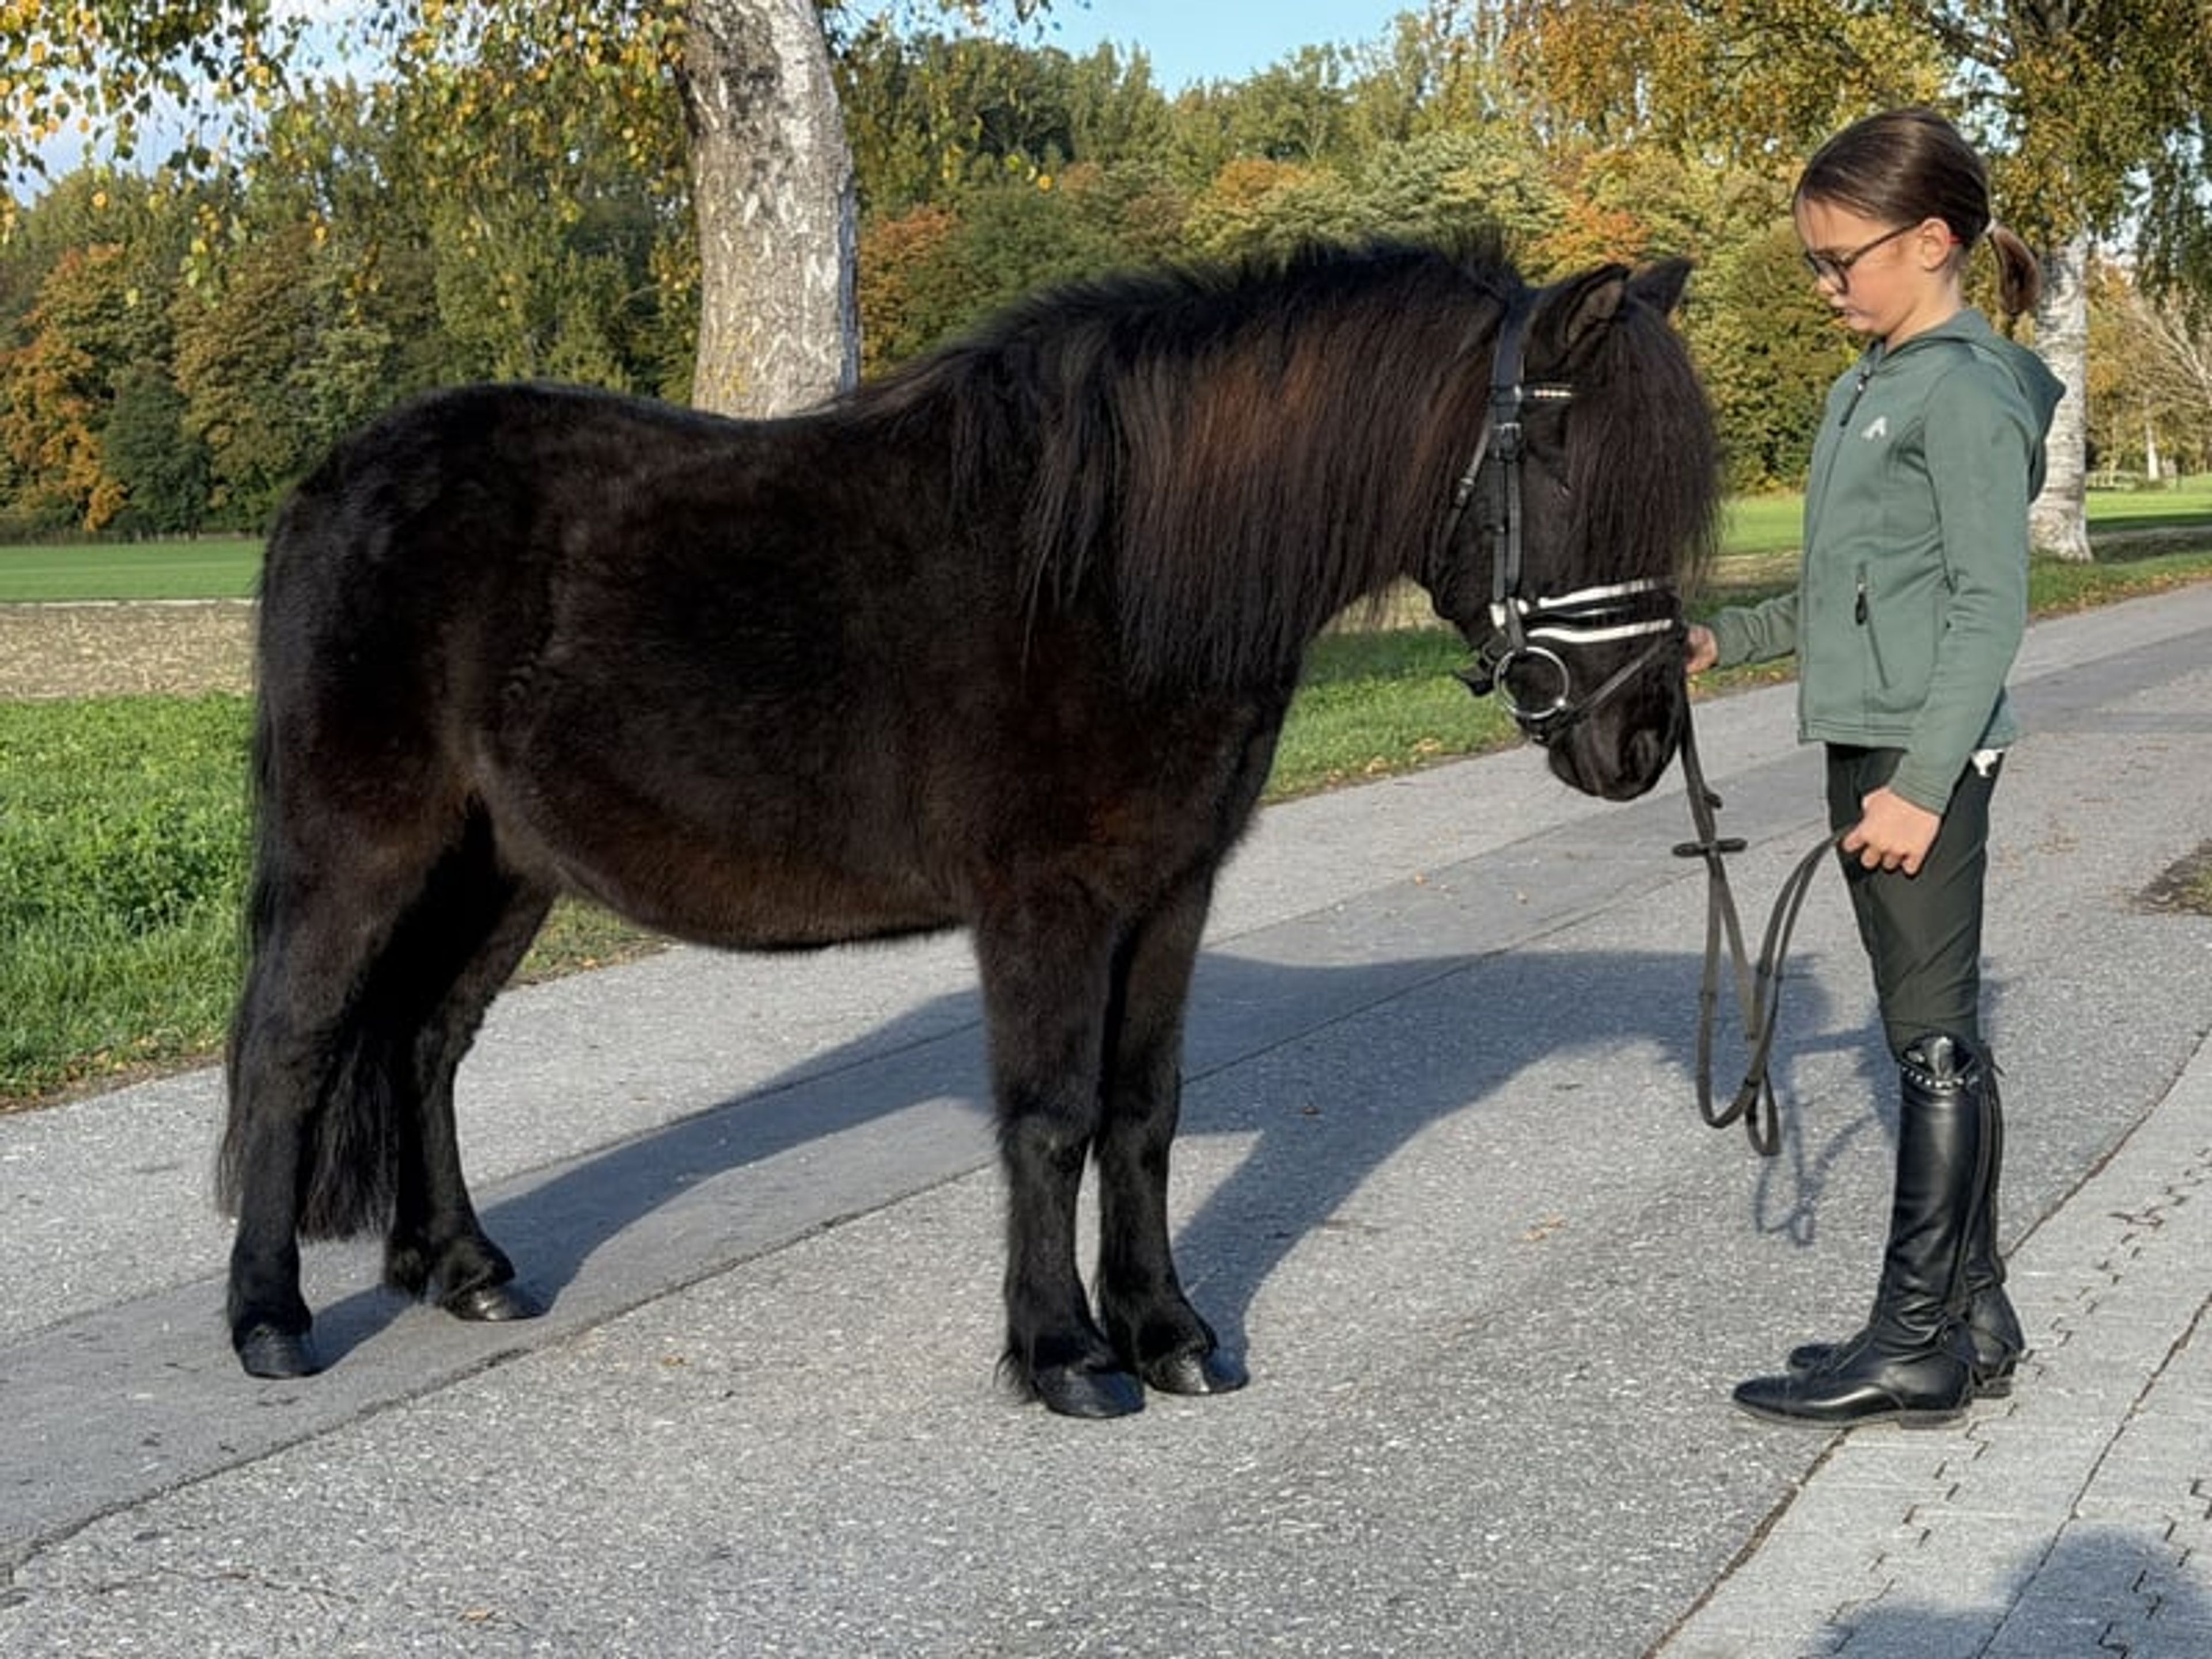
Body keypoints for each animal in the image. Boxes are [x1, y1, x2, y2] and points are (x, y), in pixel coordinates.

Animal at [219, 239, 1719, 1418]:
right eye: (1573, 474)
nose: (1638, 739)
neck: (1118, 569)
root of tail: (330, 483)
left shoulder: (1168, 895)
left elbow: (1142, 1113)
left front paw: (1170, 1334)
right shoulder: (1045, 906)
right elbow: (1051, 1118)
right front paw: (1064, 1354)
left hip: (499, 867)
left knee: (424, 1041)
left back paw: (460, 1268)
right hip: (363, 850)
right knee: (293, 1050)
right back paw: (272, 1321)